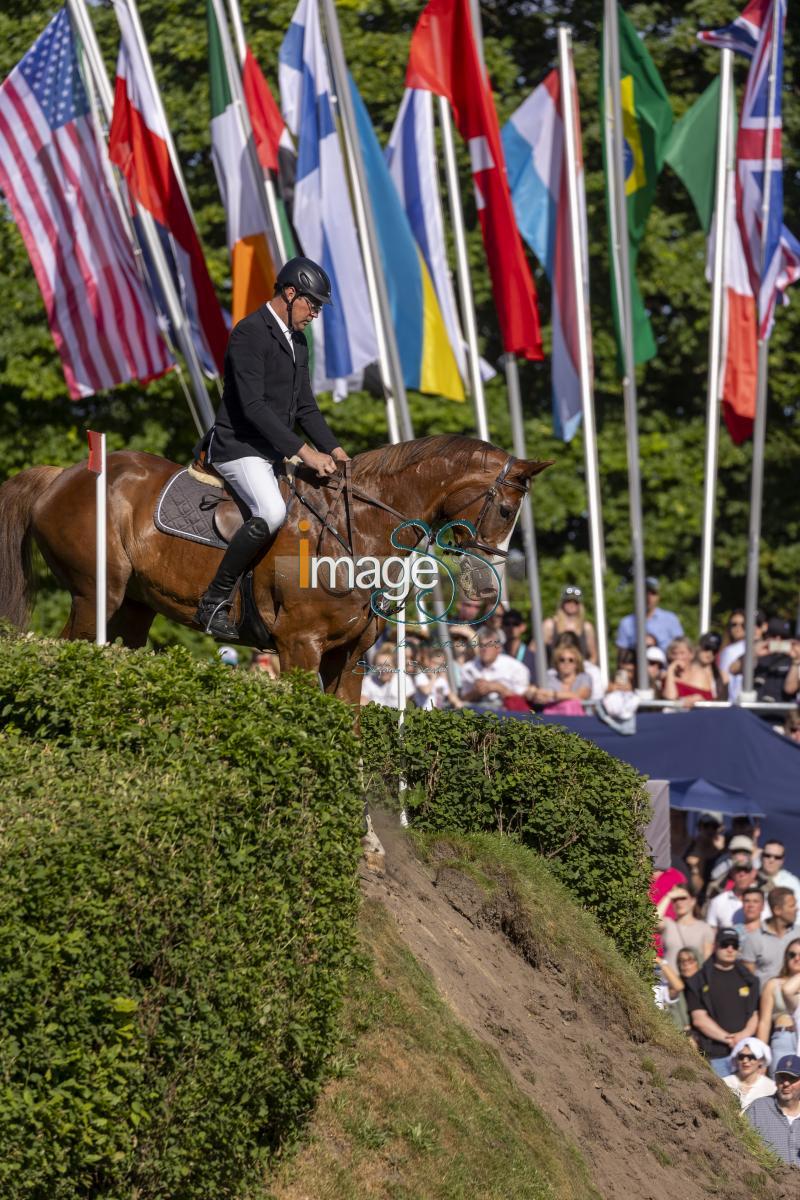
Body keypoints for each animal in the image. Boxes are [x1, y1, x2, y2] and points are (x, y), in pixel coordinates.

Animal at [0, 436, 546, 700]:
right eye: (504, 511)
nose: (486, 585)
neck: (358, 532)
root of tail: (62, 474)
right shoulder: (299, 646)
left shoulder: (349, 657)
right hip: (98, 594)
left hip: (135, 607)